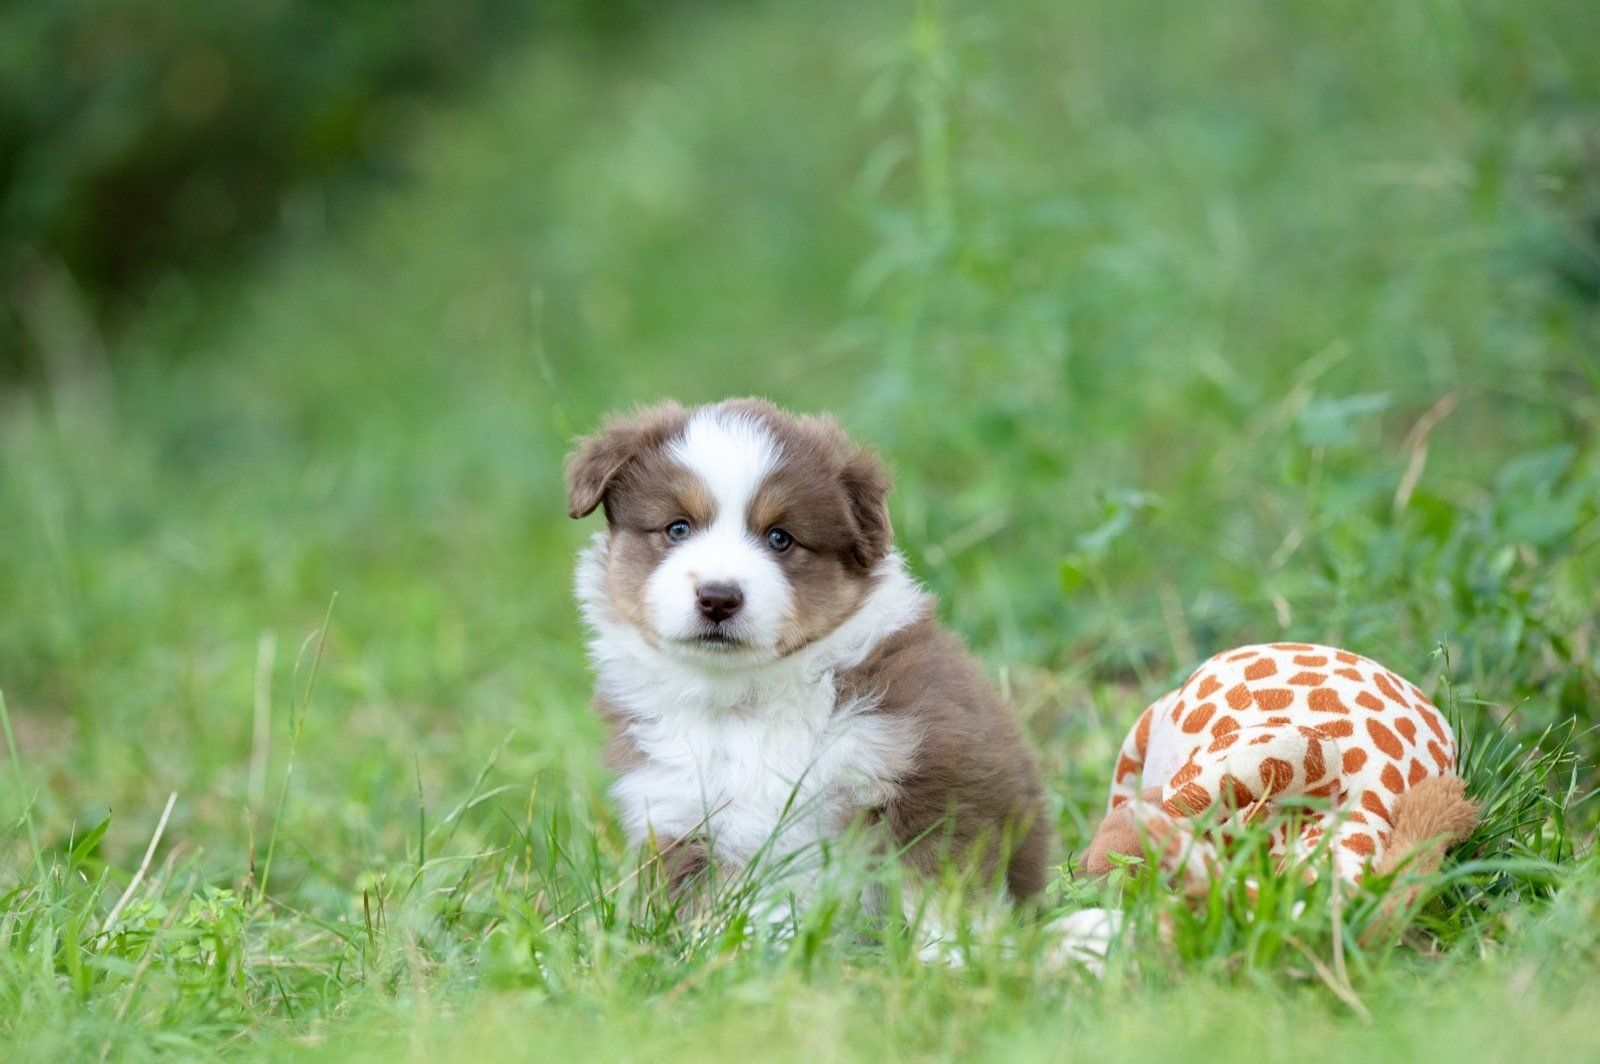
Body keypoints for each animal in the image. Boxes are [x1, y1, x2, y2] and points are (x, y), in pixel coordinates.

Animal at [566, 398, 1047, 909]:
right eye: (677, 528)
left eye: (780, 538)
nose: (718, 597)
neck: (748, 699)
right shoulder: (676, 810)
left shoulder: (933, 774)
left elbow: (940, 890)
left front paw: (950, 934)